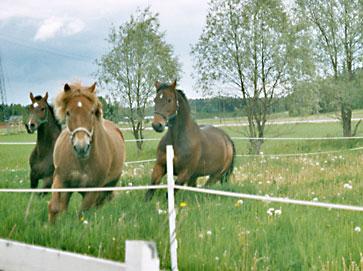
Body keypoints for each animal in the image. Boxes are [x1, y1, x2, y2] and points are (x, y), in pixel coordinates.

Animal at [48, 83, 126, 223]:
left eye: (91, 112)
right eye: (68, 112)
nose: (81, 147)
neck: (81, 162)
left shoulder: (92, 191)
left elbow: (82, 214)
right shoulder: (60, 180)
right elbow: (55, 207)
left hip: (108, 187)